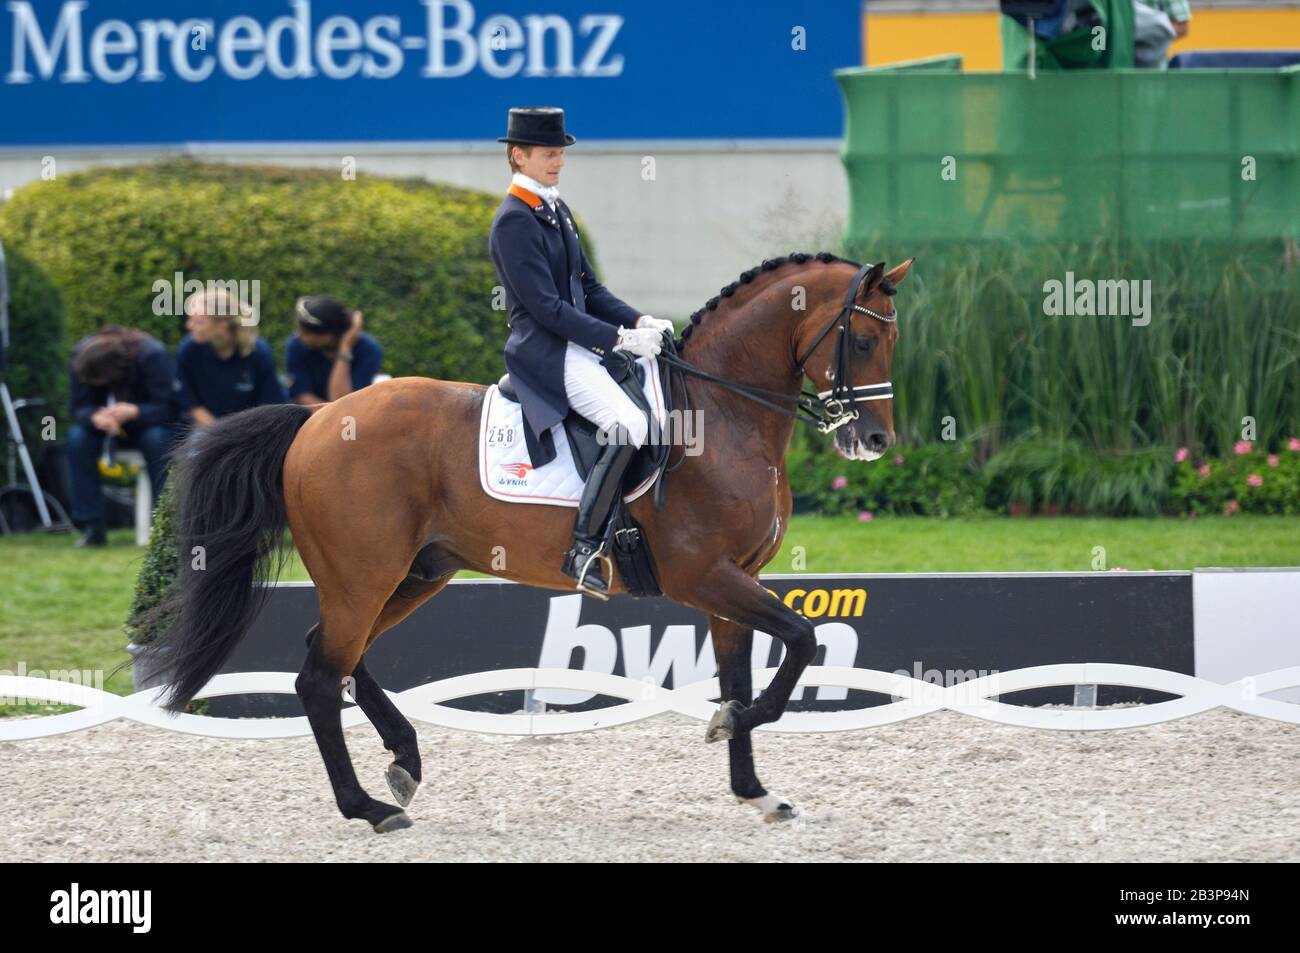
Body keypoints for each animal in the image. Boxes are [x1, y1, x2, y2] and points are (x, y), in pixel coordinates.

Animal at [142, 249, 909, 826]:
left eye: (893, 341)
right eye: (862, 339)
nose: (874, 442)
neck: (721, 415)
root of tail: (318, 419)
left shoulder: (735, 581)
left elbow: (746, 669)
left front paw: (754, 788)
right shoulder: (707, 577)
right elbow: (801, 642)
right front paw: (733, 724)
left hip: (414, 574)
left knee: (333, 658)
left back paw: (404, 760)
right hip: (365, 577)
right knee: (319, 678)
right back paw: (368, 807)